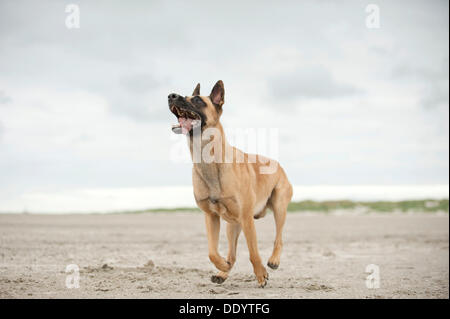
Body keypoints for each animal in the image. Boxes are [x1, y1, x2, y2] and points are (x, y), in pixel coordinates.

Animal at [168, 80, 292, 288]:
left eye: (196, 100)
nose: (171, 96)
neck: (209, 160)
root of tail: (277, 163)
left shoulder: (247, 219)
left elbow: (253, 253)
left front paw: (261, 275)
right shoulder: (211, 217)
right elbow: (212, 252)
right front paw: (222, 266)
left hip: (279, 206)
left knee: (279, 238)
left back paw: (274, 260)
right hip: (232, 225)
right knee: (232, 254)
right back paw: (223, 272)